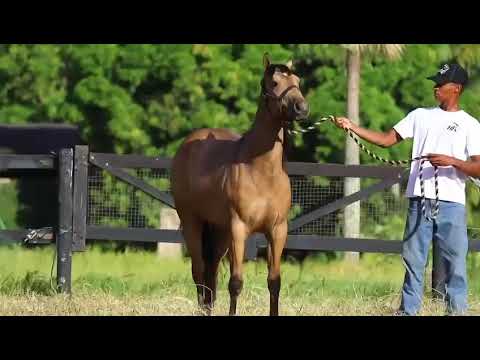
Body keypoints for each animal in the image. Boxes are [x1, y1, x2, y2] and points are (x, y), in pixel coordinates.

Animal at [171, 53, 310, 316]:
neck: (261, 170)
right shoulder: (239, 229)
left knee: (211, 272)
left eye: (297, 80)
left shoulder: (277, 230)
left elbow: (274, 282)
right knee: (199, 271)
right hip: (193, 222)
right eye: (274, 82)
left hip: (219, 230)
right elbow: (235, 282)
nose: (302, 108)